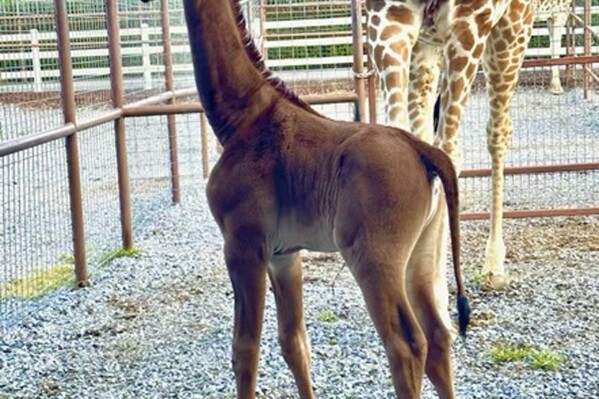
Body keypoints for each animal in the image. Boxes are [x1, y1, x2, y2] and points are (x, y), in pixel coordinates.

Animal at [143, 0, 472, 399]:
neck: (245, 119)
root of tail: (423, 150)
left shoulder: (243, 248)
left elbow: (245, 350)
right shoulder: (283, 255)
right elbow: (294, 344)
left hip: (374, 260)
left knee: (407, 346)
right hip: (422, 256)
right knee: (439, 337)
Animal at [366, 0, 572, 290]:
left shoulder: (463, 24)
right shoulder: (391, 18)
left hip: (494, 33)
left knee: (488, 133)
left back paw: (491, 265)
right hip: (460, 38)